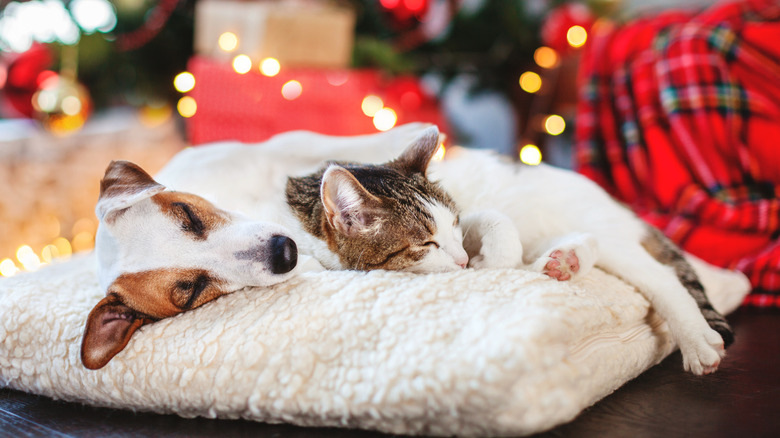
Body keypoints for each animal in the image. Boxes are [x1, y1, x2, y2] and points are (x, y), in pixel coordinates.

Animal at [284, 126, 732, 376]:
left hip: (603, 231)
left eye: (454, 225)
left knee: (660, 275)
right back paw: (562, 261)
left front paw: (490, 262)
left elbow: (499, 227)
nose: (464, 259)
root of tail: (617, 203)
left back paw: (696, 339)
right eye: (427, 244)